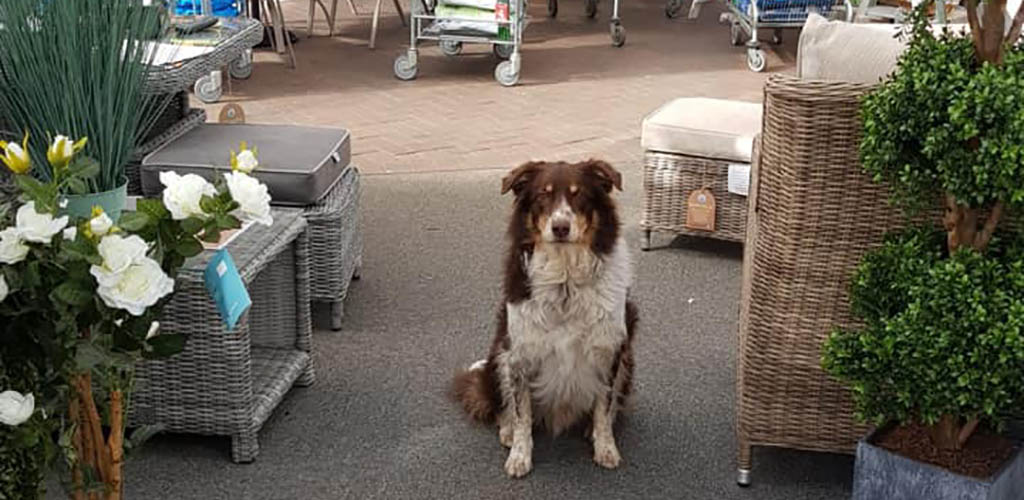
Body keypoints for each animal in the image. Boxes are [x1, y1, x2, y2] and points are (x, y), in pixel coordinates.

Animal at [452, 158, 634, 477]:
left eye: (578, 194)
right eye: (542, 195)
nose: (560, 227)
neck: (566, 282)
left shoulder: (609, 350)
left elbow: (603, 406)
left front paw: (605, 447)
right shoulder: (519, 354)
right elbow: (522, 413)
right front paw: (519, 455)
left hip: (627, 354)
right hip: (500, 350)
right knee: (504, 406)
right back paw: (507, 430)